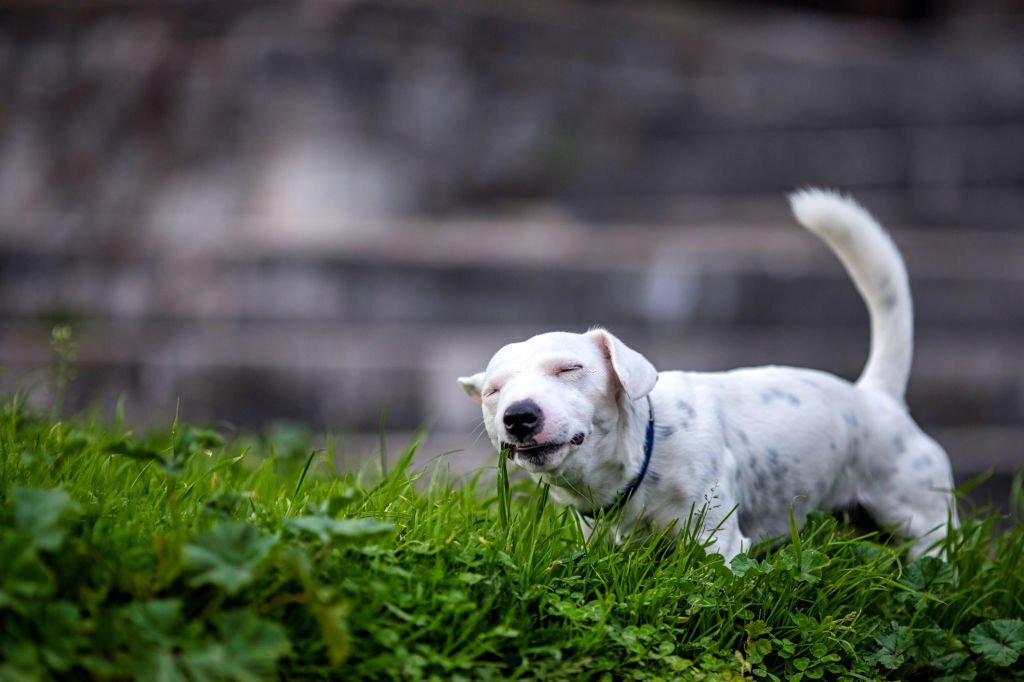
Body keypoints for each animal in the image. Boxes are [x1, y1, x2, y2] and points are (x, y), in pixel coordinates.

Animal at [460, 188, 954, 561]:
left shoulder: (717, 539)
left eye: (569, 368)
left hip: (924, 520)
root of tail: (876, 395)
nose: (519, 416)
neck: (643, 454)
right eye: (493, 392)